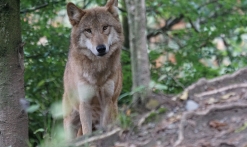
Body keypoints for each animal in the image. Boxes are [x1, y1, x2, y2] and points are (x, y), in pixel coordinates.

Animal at [62, 0, 123, 139]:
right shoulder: (85, 103)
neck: (98, 73)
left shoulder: (107, 101)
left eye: (105, 27)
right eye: (88, 30)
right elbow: (87, 131)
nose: (101, 48)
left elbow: (104, 127)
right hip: (70, 121)